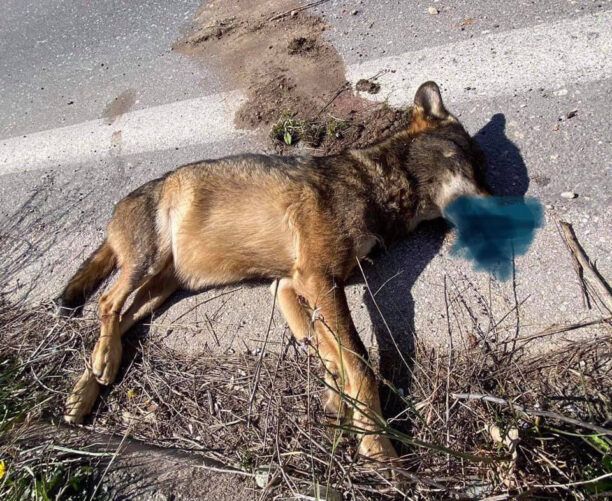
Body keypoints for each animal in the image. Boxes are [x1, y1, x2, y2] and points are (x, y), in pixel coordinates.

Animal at [56, 83, 488, 460]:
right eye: (464, 161)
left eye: (483, 170)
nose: (498, 206)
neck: (372, 183)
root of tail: (116, 213)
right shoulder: (318, 278)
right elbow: (359, 360)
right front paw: (379, 448)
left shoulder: (293, 283)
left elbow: (327, 348)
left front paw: (337, 398)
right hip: (145, 264)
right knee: (107, 303)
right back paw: (101, 364)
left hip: (162, 290)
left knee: (121, 319)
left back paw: (83, 392)